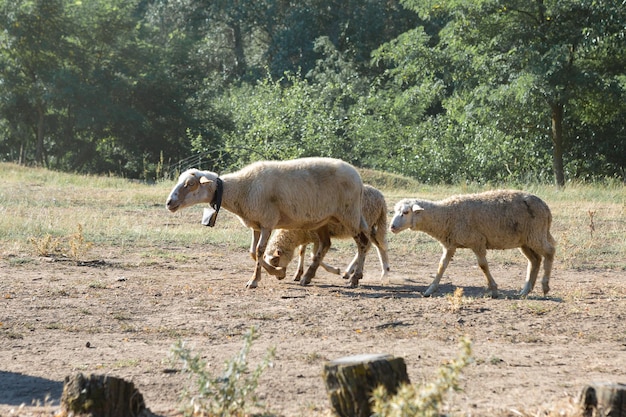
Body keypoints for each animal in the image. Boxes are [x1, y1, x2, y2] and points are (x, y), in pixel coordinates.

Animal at [166, 157, 370, 290]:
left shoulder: (267, 222)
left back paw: (354, 278)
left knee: (363, 243)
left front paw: (255, 281)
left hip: (350, 214)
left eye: (190, 184)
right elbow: (252, 252)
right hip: (322, 220)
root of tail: (358, 177)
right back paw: (307, 277)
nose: (169, 203)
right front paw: (278, 273)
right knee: (326, 244)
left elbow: (259, 251)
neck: (241, 189)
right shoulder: (256, 224)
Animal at [388, 190, 552, 298]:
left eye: (406, 212)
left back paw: (544, 286)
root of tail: (545, 207)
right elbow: (441, 266)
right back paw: (526, 290)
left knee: (550, 251)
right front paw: (430, 290)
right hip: (526, 240)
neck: (446, 215)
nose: (392, 227)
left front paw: (494, 289)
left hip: (536, 234)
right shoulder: (450, 245)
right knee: (535, 260)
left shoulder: (477, 242)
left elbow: (483, 266)